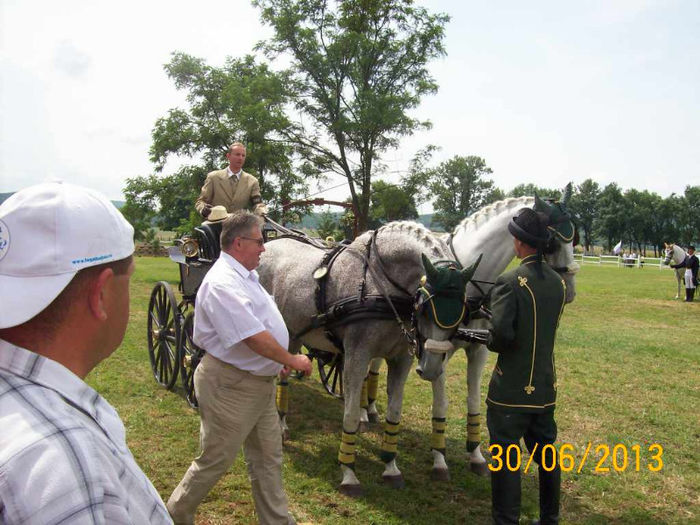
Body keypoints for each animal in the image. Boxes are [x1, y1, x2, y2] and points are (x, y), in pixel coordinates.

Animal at [258, 221, 482, 496]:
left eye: (464, 310)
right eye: (424, 306)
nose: (431, 369)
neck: (380, 285)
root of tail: (269, 244)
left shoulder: (401, 359)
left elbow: (394, 412)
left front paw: (391, 467)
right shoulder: (357, 355)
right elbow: (352, 413)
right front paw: (349, 472)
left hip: (294, 334)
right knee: (280, 377)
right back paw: (280, 425)